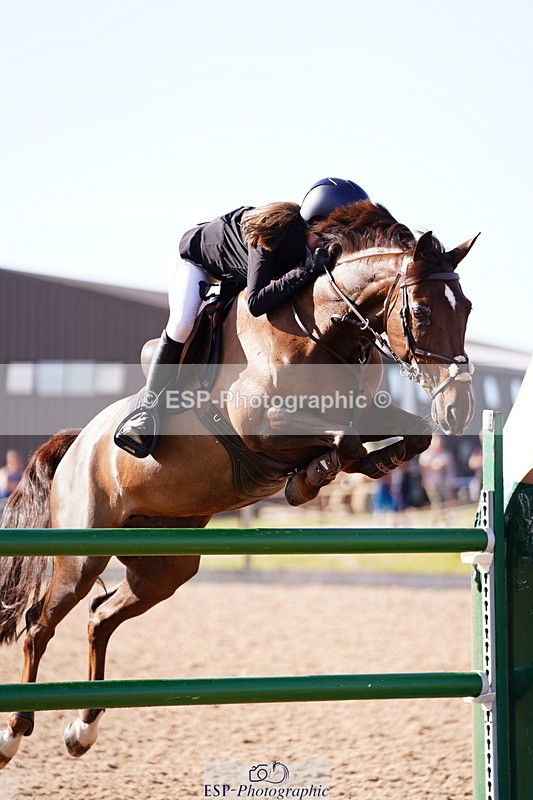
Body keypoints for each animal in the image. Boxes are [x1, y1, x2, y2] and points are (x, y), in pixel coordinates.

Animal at [0, 200, 477, 766]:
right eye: (422, 312)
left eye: (468, 310)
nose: (460, 410)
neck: (323, 331)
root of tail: (76, 446)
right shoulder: (262, 424)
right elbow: (344, 442)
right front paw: (312, 478)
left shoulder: (364, 410)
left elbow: (408, 436)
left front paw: (349, 468)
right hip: (81, 553)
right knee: (38, 626)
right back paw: (14, 733)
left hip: (165, 565)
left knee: (100, 617)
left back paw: (83, 727)